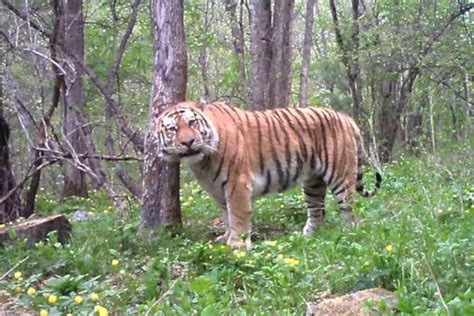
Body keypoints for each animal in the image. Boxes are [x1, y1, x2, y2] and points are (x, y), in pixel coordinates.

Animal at [156, 101, 382, 249]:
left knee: (350, 209)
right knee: (317, 212)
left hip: (340, 177)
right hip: (313, 183)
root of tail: (346, 117)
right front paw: (226, 238)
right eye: (172, 129)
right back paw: (306, 237)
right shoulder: (218, 190)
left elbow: (237, 215)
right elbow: (226, 216)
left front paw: (237, 246)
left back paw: (350, 234)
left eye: (192, 123)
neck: (201, 162)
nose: (188, 142)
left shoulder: (237, 183)